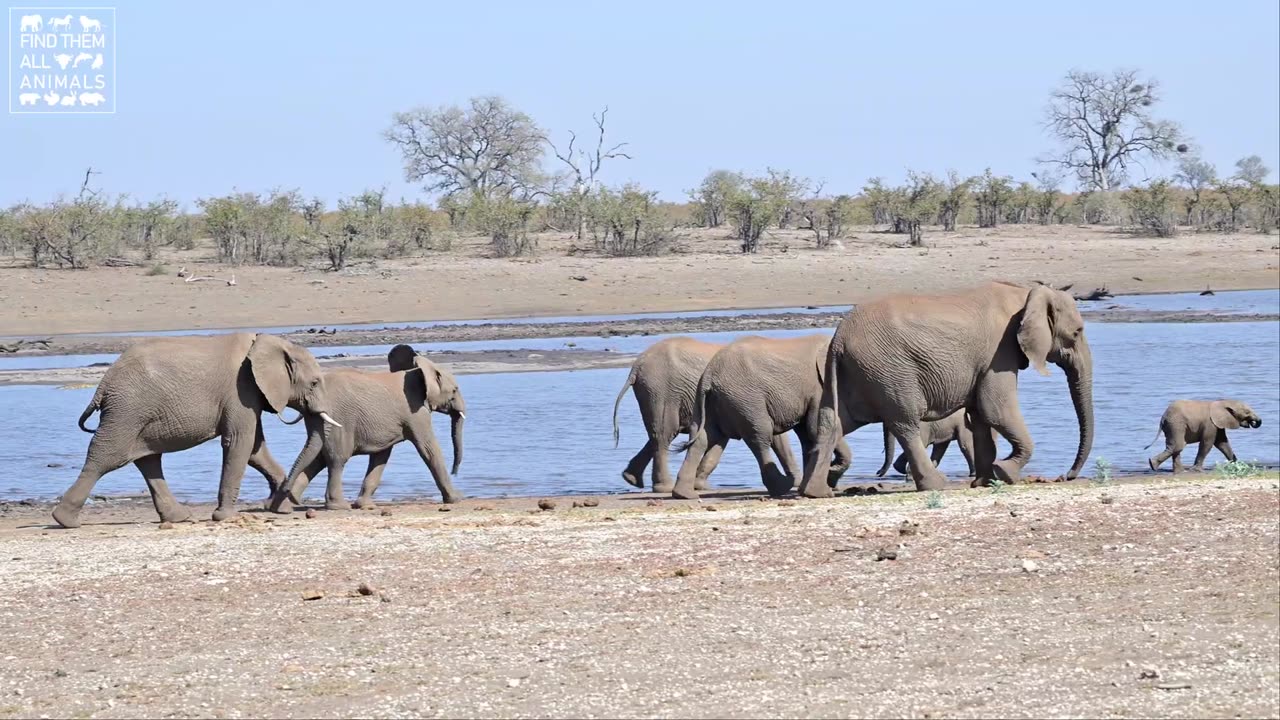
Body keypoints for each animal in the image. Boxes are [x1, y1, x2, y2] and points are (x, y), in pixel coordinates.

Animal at [53, 333, 337, 527]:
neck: (267, 343)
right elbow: (240, 443)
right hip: (128, 409)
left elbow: (256, 449)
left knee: (148, 459)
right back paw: (65, 520)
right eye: (314, 383)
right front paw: (224, 517)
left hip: (137, 412)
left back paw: (179, 517)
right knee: (106, 456)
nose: (296, 500)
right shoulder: (240, 390)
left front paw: (282, 508)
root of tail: (104, 384)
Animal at [270, 340, 465, 509]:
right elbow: (429, 448)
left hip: (318, 419)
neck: (418, 370)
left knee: (319, 457)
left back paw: (290, 501)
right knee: (336, 459)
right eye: (455, 390)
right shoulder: (416, 413)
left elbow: (381, 455)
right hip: (340, 419)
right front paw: (456, 499)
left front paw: (364, 506)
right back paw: (337, 506)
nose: (455, 471)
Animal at [609, 335, 798, 491]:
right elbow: (776, 437)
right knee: (665, 433)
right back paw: (664, 487)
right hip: (662, 390)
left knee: (659, 433)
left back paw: (631, 479)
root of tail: (637, 366)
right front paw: (795, 482)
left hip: (655, 391)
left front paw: (699, 485)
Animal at [675, 333, 855, 497]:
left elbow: (807, 434)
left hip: (710, 401)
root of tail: (709, 375)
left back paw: (684, 494)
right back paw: (783, 487)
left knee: (703, 438)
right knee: (760, 437)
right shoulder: (818, 388)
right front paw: (832, 472)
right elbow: (814, 428)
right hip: (745, 399)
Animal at [798, 280, 1090, 491]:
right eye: (1077, 332)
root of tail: (839, 338)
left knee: (835, 422)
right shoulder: (999, 352)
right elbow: (995, 409)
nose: (1066, 476)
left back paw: (814, 492)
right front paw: (1004, 472)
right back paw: (936, 484)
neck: (1025, 294)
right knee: (905, 424)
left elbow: (980, 416)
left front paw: (984, 482)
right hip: (889, 370)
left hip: (853, 371)